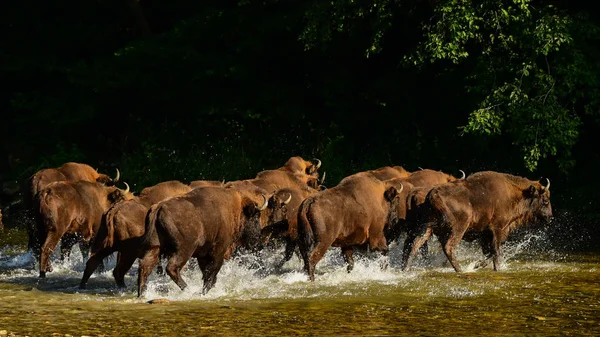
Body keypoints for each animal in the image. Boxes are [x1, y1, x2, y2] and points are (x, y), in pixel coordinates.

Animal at [77, 180, 223, 288]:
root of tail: (114, 211)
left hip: (105, 246)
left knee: (93, 263)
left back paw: (83, 286)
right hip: (128, 252)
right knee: (117, 270)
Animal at [137, 182, 270, 296]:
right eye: (255, 217)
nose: (257, 235)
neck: (235, 209)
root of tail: (158, 207)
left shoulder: (203, 254)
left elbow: (206, 272)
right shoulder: (219, 251)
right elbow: (212, 271)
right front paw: (205, 290)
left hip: (154, 247)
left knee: (145, 266)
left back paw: (141, 294)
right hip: (184, 250)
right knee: (172, 268)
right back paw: (188, 289)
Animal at [400, 172, 552, 272]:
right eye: (545, 200)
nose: (550, 216)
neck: (514, 194)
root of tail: (432, 194)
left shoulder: (485, 234)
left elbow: (489, 252)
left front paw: (478, 264)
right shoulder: (497, 229)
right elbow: (496, 252)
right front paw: (494, 268)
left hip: (427, 228)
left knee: (415, 244)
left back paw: (406, 269)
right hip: (458, 228)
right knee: (448, 247)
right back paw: (460, 270)